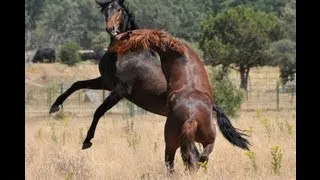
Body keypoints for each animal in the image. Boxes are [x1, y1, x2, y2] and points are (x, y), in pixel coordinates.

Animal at [50, 0, 250, 154]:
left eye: (119, 9)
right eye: (106, 10)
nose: (112, 29)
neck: (126, 51)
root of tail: (211, 105)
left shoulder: (119, 90)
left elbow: (98, 111)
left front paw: (87, 141)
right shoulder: (106, 82)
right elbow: (76, 84)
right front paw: (54, 106)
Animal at [110, 29, 250, 173]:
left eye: (119, 40)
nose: (111, 50)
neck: (180, 54)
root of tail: (191, 117)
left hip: (174, 143)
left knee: (178, 162)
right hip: (201, 141)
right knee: (199, 158)